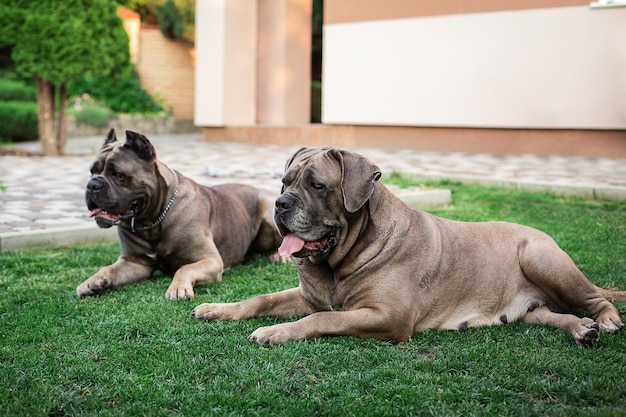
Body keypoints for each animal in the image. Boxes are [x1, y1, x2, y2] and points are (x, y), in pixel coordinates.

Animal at [75, 130, 282, 300]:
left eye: (118, 174)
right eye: (92, 171)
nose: (92, 185)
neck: (152, 221)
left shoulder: (210, 260)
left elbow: (185, 268)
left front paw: (178, 288)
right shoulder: (134, 262)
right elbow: (109, 267)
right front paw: (93, 280)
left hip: (268, 210)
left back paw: (280, 256)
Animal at [193, 146, 620, 344]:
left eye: (317, 185)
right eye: (284, 182)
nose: (280, 203)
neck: (341, 259)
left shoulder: (389, 316)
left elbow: (322, 320)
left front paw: (275, 332)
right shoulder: (310, 296)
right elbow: (261, 298)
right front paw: (217, 309)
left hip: (540, 257)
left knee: (596, 297)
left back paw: (604, 320)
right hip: (532, 307)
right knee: (552, 314)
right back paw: (581, 329)